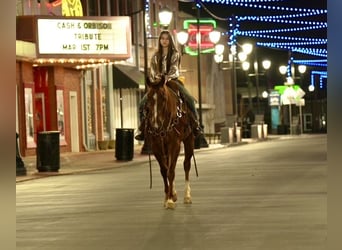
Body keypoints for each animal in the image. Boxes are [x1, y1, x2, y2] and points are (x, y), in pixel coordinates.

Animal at [144, 76, 196, 209]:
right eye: (148, 97)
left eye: (163, 97)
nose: (155, 124)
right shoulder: (156, 146)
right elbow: (164, 171)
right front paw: (168, 196)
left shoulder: (175, 144)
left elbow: (171, 171)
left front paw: (170, 200)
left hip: (189, 141)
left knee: (186, 165)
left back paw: (187, 196)